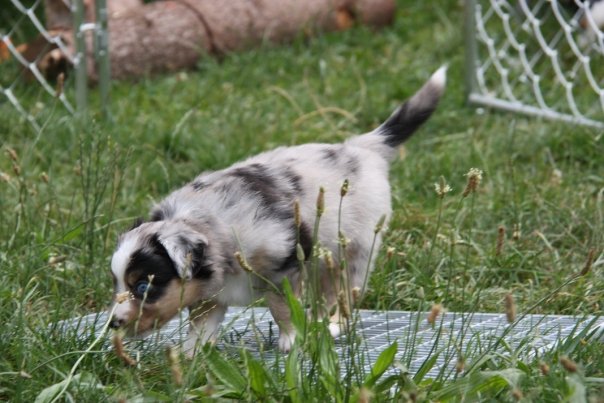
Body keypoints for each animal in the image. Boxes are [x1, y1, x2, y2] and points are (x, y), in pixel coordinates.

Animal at [109, 67, 444, 356]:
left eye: (143, 286)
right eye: (117, 283)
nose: (113, 323)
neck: (206, 225)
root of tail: (363, 148)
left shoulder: (282, 269)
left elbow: (281, 307)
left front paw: (291, 341)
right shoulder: (210, 295)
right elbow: (200, 327)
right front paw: (188, 357)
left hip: (353, 252)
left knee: (343, 295)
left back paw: (331, 327)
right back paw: (318, 323)